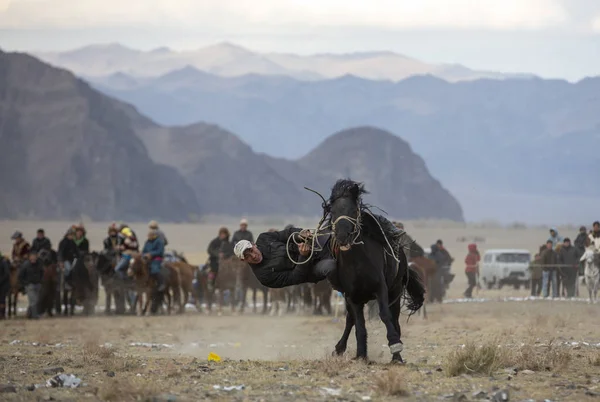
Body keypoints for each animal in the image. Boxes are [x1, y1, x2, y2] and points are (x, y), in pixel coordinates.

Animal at [324, 181, 426, 362]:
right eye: (333, 211)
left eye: (353, 211)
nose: (342, 237)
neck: (358, 263)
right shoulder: (352, 297)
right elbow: (359, 324)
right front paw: (361, 355)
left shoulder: (381, 289)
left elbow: (385, 315)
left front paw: (395, 347)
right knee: (350, 320)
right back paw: (339, 348)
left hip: (395, 291)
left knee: (394, 317)